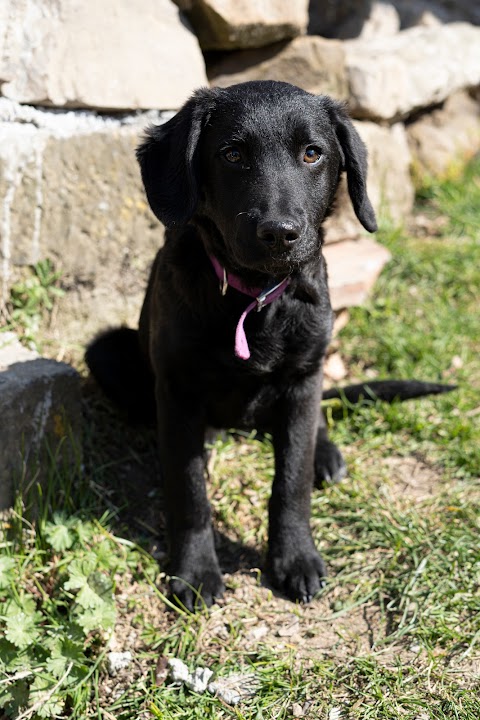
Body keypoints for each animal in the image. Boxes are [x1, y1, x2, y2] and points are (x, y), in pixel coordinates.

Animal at [87, 81, 454, 612]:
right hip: (107, 352)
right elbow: (189, 491)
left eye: (312, 153)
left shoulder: (302, 380)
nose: (280, 234)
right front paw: (195, 571)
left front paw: (294, 558)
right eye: (233, 153)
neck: (256, 299)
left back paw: (326, 455)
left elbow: (291, 482)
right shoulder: (177, 391)